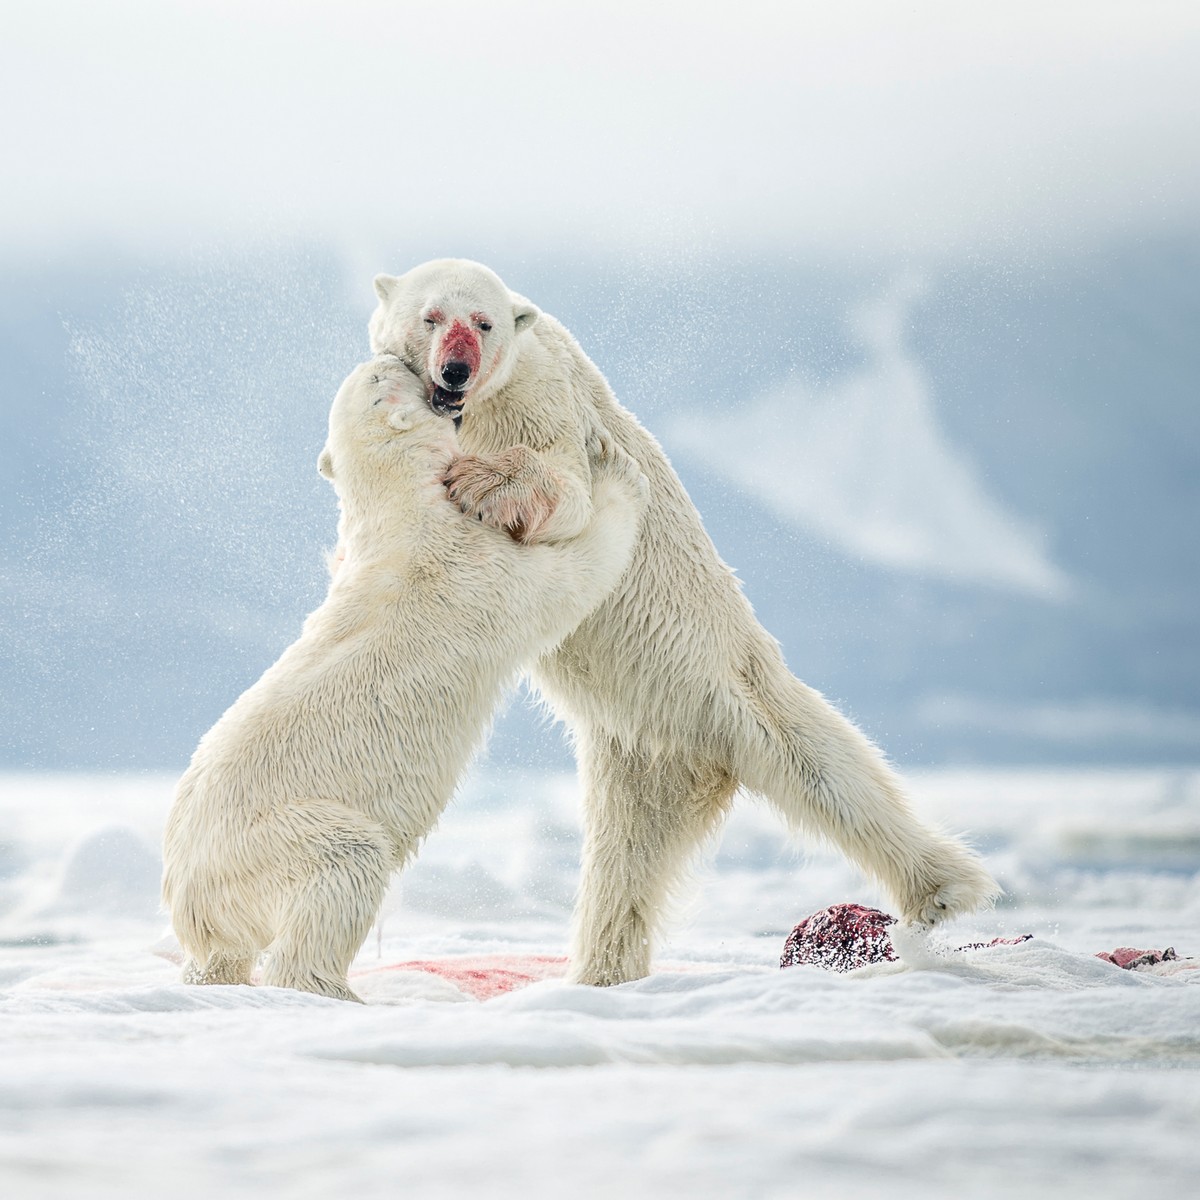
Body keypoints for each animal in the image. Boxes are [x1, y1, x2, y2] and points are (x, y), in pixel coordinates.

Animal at [162, 355, 648, 1003]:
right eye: (380, 381)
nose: (388, 358)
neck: (400, 507)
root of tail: (186, 901)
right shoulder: (473, 569)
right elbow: (566, 576)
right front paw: (616, 471)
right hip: (271, 841)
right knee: (345, 863)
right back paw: (333, 988)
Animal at [367, 260, 1003, 984]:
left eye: (483, 323)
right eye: (430, 316)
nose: (455, 371)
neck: (475, 409)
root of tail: (705, 756)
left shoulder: (545, 404)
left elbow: (569, 490)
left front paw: (482, 483)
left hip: (730, 677)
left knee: (830, 768)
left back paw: (943, 889)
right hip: (634, 749)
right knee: (624, 857)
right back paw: (599, 972)